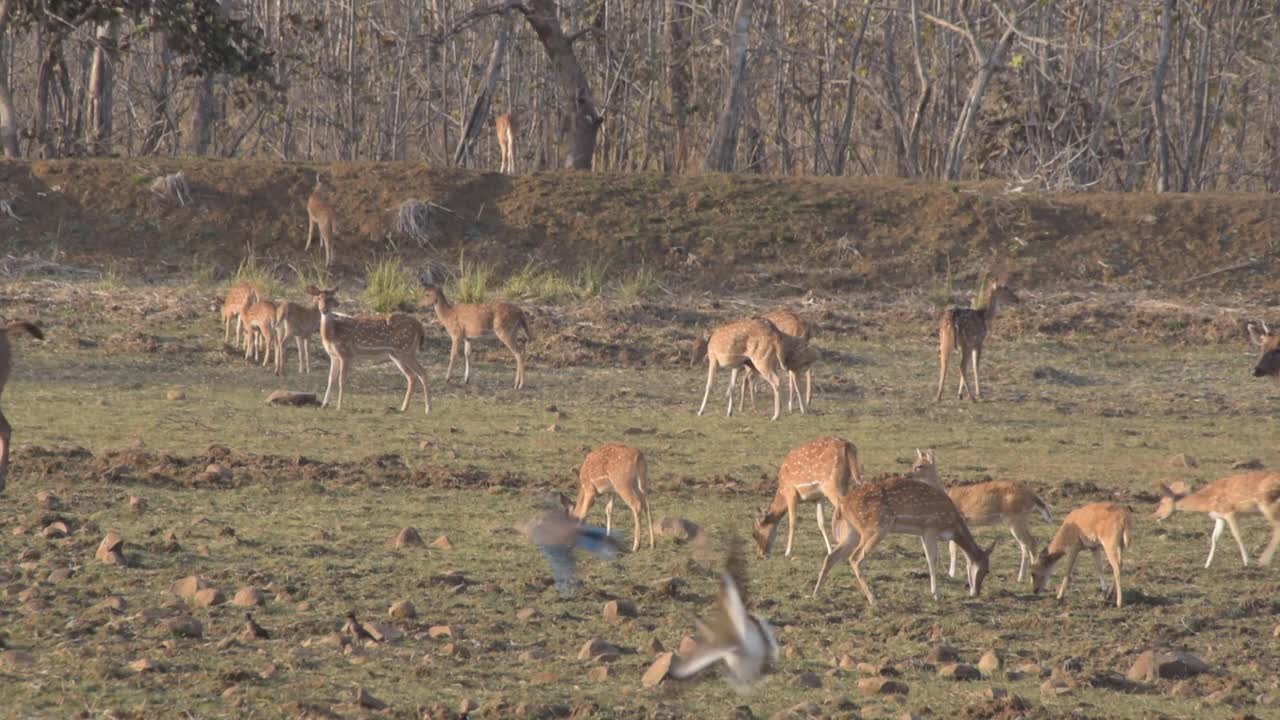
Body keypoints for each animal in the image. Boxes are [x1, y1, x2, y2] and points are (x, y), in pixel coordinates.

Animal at [307, 284, 432, 412]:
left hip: (404, 349)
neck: (332, 334)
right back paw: (404, 408)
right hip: (397, 354)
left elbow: (342, 380)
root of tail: (420, 326)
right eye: (318, 298)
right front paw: (324, 404)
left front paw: (339, 407)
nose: (324, 310)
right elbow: (331, 379)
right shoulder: (334, 356)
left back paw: (427, 408)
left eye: (331, 298)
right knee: (412, 376)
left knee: (422, 372)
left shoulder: (346, 354)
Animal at [808, 474, 998, 602]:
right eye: (986, 570)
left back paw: (816, 593)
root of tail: (841, 505)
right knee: (855, 557)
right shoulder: (930, 527)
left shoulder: (923, 532)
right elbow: (932, 560)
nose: (976, 592)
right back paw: (873, 599)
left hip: (852, 531)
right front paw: (936, 595)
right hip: (876, 527)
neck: (952, 525)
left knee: (831, 556)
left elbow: (928, 559)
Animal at [916, 448, 1054, 584]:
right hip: (1021, 519)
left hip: (1015, 519)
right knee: (1029, 542)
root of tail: (1034, 496)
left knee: (1029, 542)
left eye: (920, 466)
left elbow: (953, 549)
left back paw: (1024, 578)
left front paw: (952, 574)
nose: (910, 474)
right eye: (914, 463)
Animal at [931, 271, 1018, 399]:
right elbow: (975, 365)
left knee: (944, 363)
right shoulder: (978, 341)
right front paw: (979, 393)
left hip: (945, 339)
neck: (985, 315)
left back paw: (938, 396)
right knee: (961, 365)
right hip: (966, 340)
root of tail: (952, 319)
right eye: (1005, 288)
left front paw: (960, 394)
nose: (1017, 299)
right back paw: (972, 397)